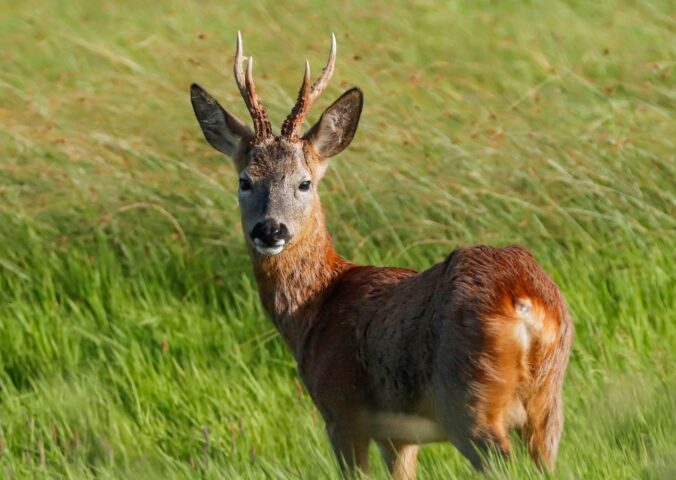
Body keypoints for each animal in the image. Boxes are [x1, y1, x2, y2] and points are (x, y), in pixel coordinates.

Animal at [190, 32, 573, 479]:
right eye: (244, 181)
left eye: (304, 183)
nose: (270, 230)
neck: (317, 305)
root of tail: (523, 299)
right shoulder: (399, 435)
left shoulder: (342, 412)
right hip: (548, 405)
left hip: (468, 400)